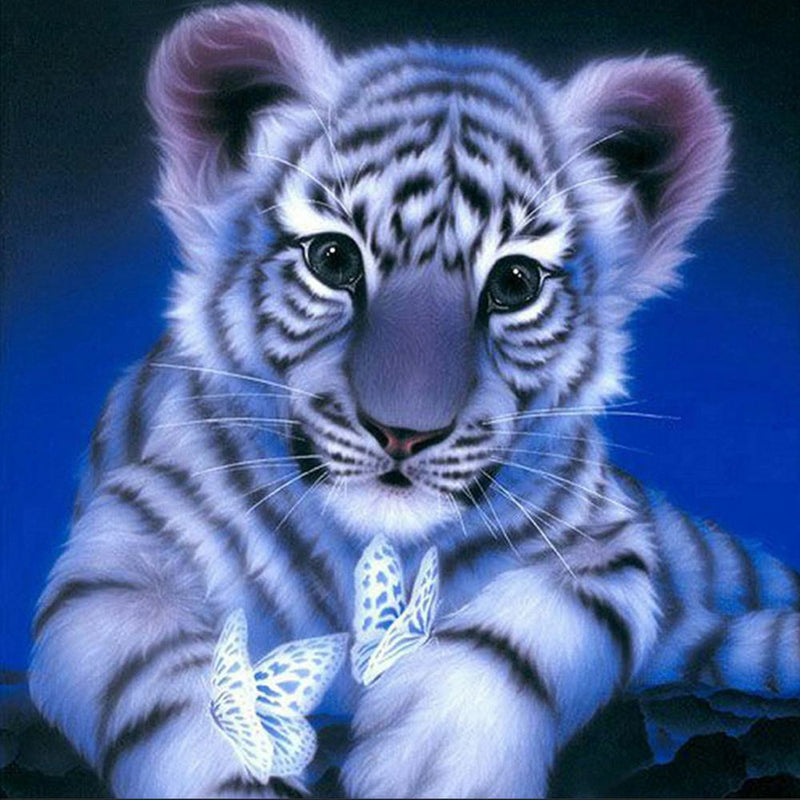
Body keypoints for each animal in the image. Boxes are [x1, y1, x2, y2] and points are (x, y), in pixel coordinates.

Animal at [28, 3, 800, 798]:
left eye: (515, 282)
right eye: (332, 258)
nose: (403, 433)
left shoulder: (605, 544)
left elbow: (523, 632)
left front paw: (437, 758)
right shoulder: (121, 556)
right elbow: (176, 685)